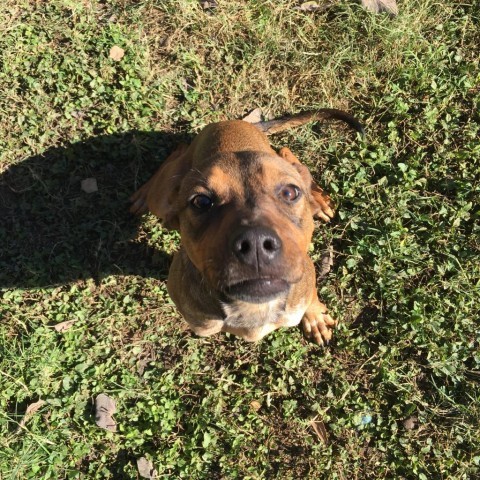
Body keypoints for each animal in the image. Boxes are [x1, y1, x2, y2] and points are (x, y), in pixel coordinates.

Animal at [129, 109, 362, 344]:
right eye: (201, 201)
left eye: (290, 192)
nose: (256, 243)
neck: (254, 309)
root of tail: (231, 122)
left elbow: (311, 296)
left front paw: (315, 318)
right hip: (161, 198)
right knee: (175, 158)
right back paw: (143, 194)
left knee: (287, 154)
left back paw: (318, 199)